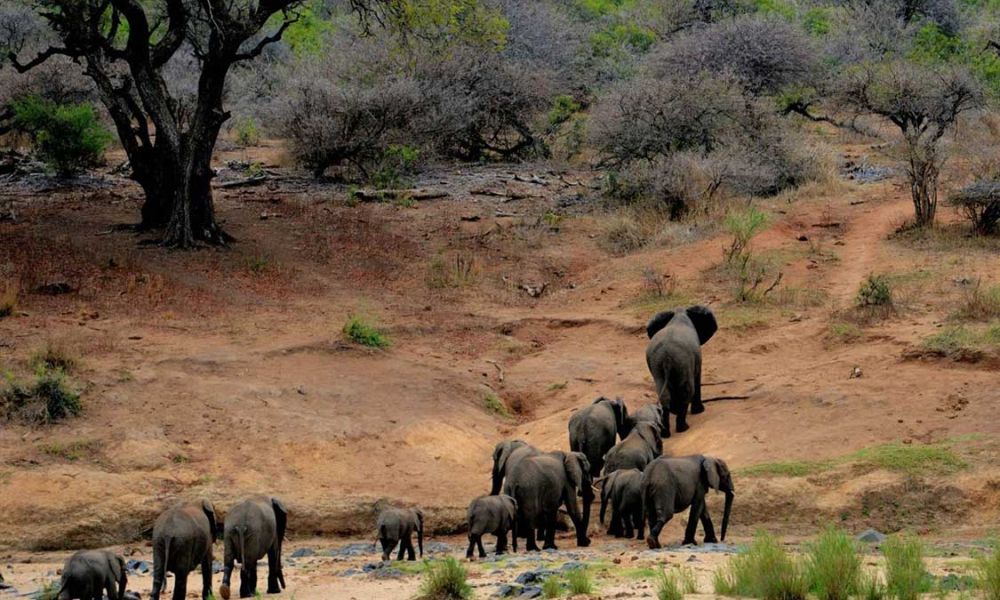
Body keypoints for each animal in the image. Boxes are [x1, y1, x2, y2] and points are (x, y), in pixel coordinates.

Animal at [645, 306, 718, 436]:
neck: (679, 314)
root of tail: (667, 358)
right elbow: (697, 377)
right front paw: (700, 411)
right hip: (682, 361)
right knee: (687, 390)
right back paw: (683, 428)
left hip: (657, 364)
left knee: (664, 394)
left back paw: (665, 433)